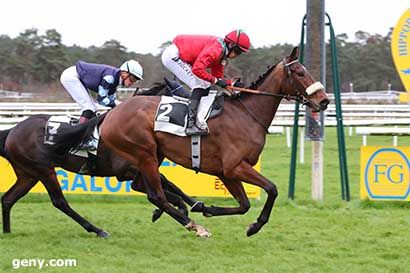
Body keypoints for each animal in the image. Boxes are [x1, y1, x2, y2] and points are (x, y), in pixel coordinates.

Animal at [0, 84, 199, 237]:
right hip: (44, 170)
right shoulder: (127, 170)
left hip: (28, 174)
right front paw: (177, 210)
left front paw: (193, 205)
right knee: (59, 202)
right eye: (181, 95)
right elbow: (162, 186)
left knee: (8, 199)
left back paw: (8, 232)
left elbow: (168, 183)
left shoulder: (138, 169)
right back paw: (97, 230)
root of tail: (12, 131)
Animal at [52, 47, 332, 237]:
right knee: (156, 195)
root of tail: (111, 114)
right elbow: (272, 189)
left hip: (151, 156)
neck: (246, 114)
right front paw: (254, 226)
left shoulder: (226, 172)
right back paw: (195, 227)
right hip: (143, 153)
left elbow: (243, 204)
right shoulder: (235, 166)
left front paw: (206, 207)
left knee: (148, 189)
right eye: (300, 72)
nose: (324, 100)